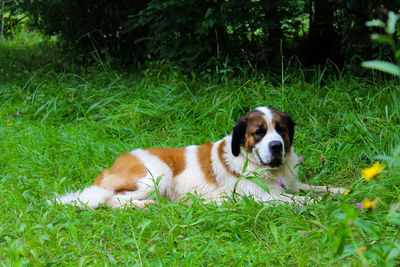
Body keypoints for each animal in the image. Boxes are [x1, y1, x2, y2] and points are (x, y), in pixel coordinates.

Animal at [50, 107, 344, 209]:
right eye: (259, 133)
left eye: (281, 129)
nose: (276, 146)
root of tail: (115, 162)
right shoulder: (265, 196)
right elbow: (300, 199)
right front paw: (319, 204)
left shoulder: (291, 184)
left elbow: (315, 187)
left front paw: (341, 191)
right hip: (156, 175)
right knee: (112, 200)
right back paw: (149, 206)